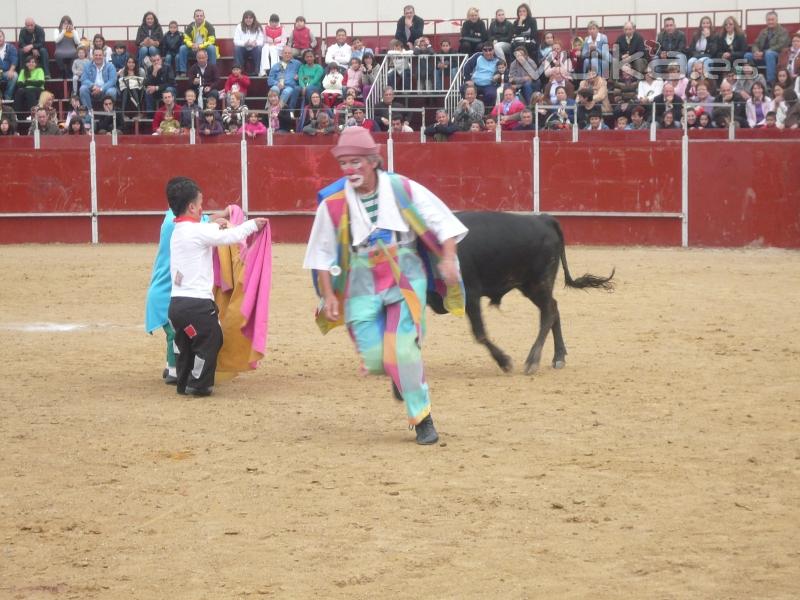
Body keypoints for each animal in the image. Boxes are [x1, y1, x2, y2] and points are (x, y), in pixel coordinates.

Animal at [428, 210, 616, 370]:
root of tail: (545, 219)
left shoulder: (470, 293)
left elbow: (479, 333)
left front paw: (504, 362)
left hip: (538, 282)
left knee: (548, 312)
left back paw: (533, 361)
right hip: (531, 286)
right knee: (554, 307)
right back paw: (558, 357)